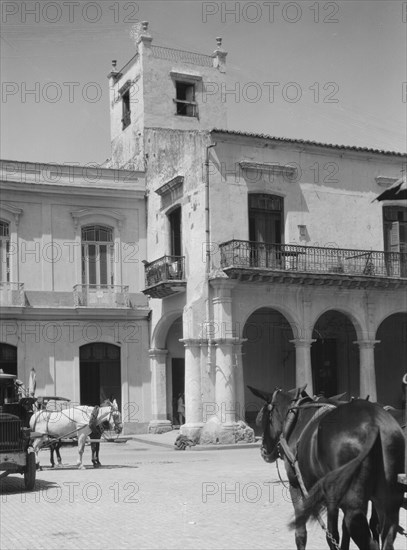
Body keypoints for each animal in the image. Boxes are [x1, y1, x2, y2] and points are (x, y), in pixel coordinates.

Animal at [250, 388, 406, 550]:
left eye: (263, 419)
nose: (263, 450)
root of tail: (373, 423)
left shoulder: (296, 485)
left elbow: (302, 533)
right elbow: (335, 534)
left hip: (354, 508)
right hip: (389, 502)